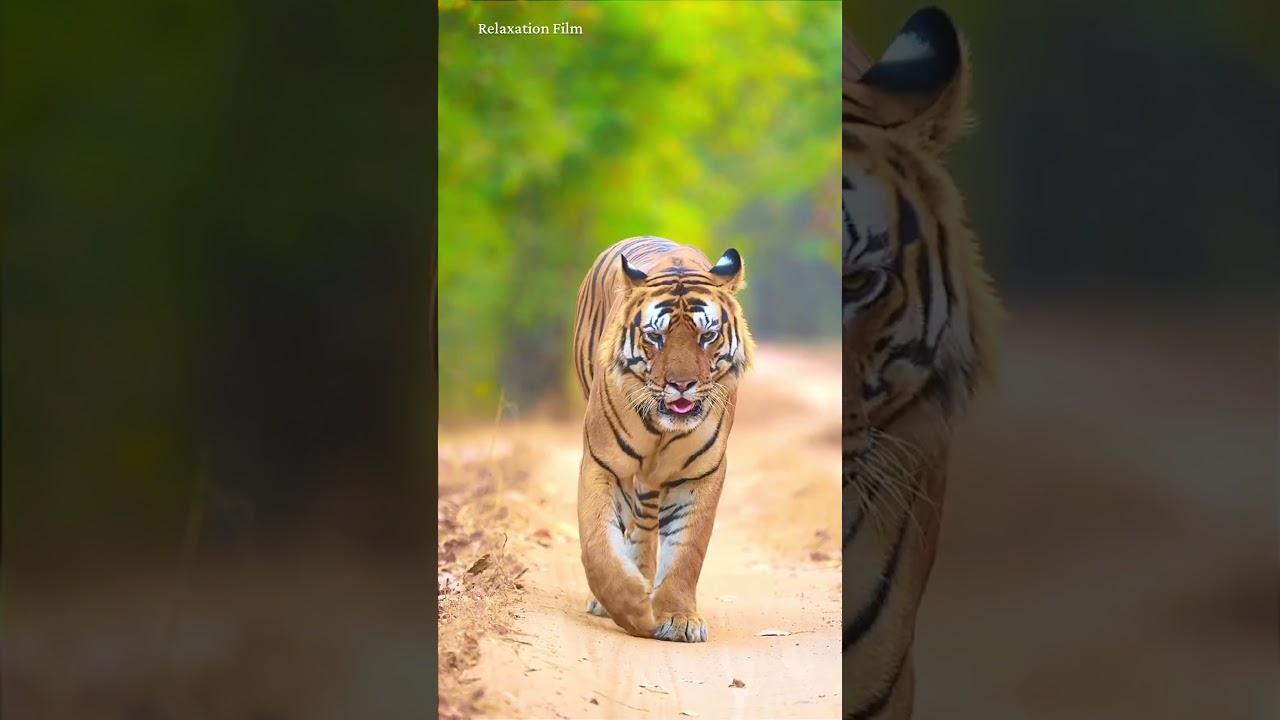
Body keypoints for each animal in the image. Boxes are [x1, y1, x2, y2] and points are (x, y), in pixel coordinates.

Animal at [571, 235, 754, 642]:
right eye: (656, 337)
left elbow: (687, 549)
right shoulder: (602, 462)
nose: (681, 385)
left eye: (707, 336)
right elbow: (597, 545)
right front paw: (632, 609)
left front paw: (677, 617)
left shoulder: (701, 472)